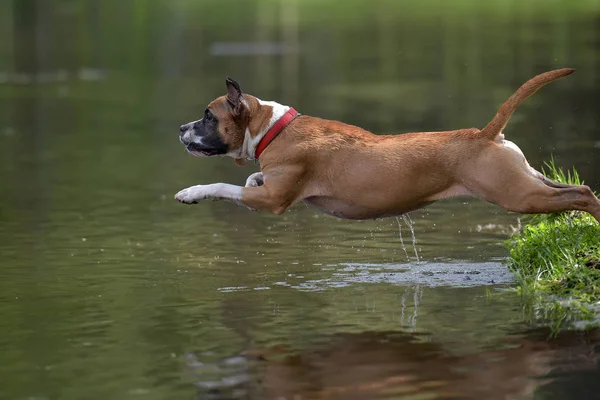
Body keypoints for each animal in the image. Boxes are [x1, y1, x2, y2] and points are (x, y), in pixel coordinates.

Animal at [175, 70, 600, 223]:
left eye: (208, 116)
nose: (181, 128)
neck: (273, 128)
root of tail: (484, 133)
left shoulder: (273, 202)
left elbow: (225, 187)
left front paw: (191, 192)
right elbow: (249, 181)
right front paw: (253, 176)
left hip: (518, 195)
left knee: (580, 195)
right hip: (528, 181)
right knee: (580, 188)